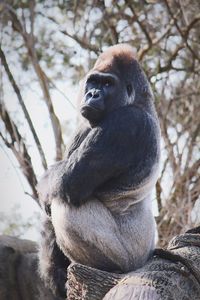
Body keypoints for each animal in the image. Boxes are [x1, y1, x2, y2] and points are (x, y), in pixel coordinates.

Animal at [37, 43, 161, 296]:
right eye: (93, 82)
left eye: (107, 84)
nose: (92, 94)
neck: (138, 100)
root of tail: (147, 256)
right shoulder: (85, 124)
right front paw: (54, 273)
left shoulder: (125, 122)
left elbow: (66, 182)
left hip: (131, 258)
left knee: (64, 205)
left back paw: (105, 268)